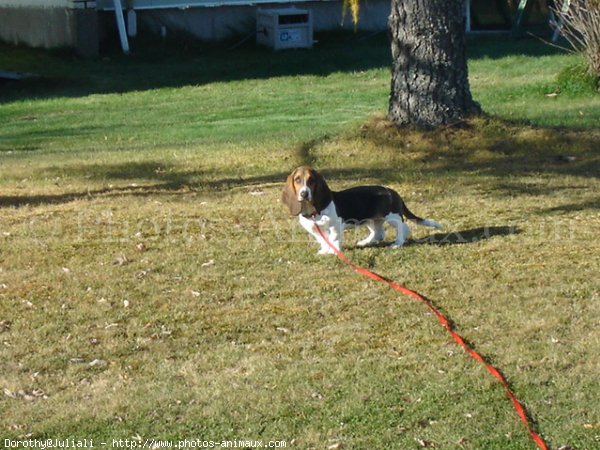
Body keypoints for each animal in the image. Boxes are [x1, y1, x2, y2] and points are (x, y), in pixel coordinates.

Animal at [280, 167, 440, 255]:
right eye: (297, 180)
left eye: (311, 180)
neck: (313, 211)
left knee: (403, 227)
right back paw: (365, 242)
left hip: (392, 216)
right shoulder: (313, 229)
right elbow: (323, 240)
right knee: (378, 233)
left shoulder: (335, 226)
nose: (304, 194)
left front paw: (334, 251)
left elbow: (333, 239)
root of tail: (392, 192)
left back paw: (397, 243)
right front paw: (324, 251)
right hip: (371, 219)